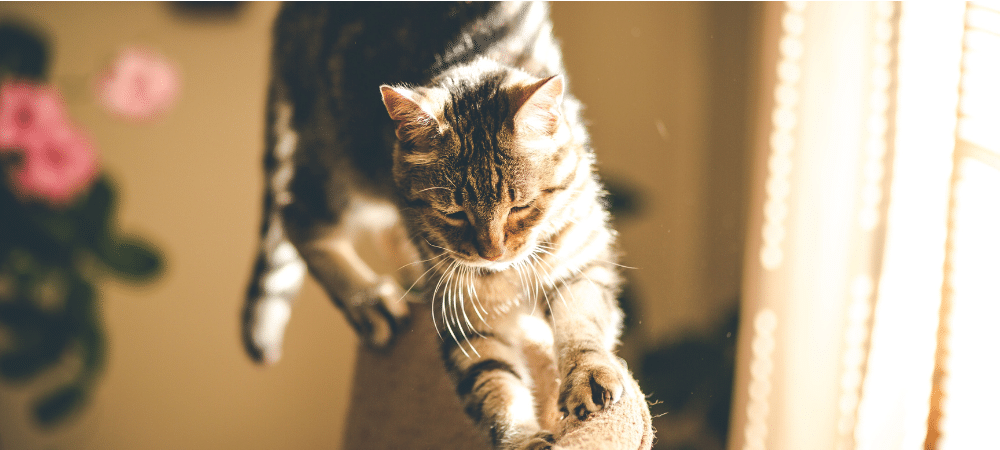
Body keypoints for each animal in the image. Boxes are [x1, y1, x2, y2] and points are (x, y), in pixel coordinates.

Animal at [242, 2, 628, 446]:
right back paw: (369, 302)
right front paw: (522, 439)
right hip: (342, 167)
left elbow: (583, 322)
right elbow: (494, 384)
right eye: (453, 213)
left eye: (520, 207)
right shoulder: (465, 317)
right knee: (294, 214)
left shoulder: (581, 261)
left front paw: (588, 374)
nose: (492, 252)